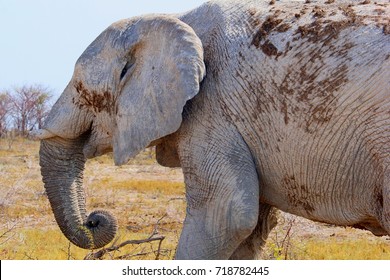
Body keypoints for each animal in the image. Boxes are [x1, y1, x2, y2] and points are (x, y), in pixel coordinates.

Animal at [35, 0, 388, 260]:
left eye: (81, 90)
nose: (94, 219)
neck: (174, 17)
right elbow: (251, 227)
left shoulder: (213, 107)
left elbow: (227, 214)